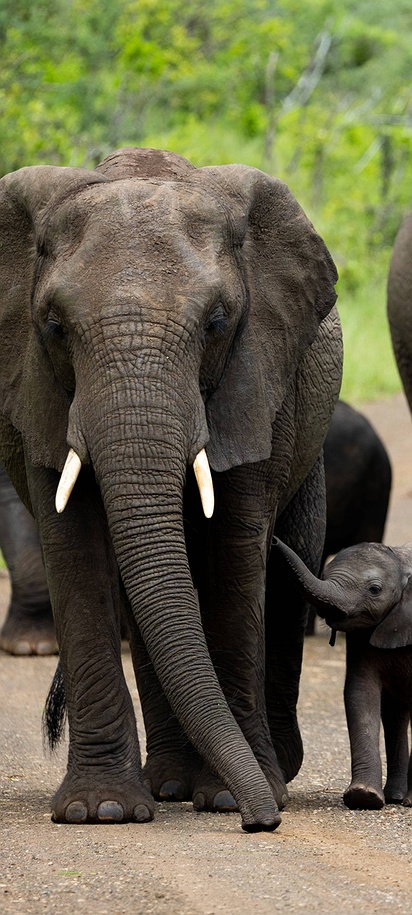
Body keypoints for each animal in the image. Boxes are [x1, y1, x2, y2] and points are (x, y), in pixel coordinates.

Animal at [275, 536, 412, 810]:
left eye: (375, 589)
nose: (273, 541)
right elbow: (360, 693)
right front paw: (363, 797)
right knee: (395, 715)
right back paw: (395, 797)